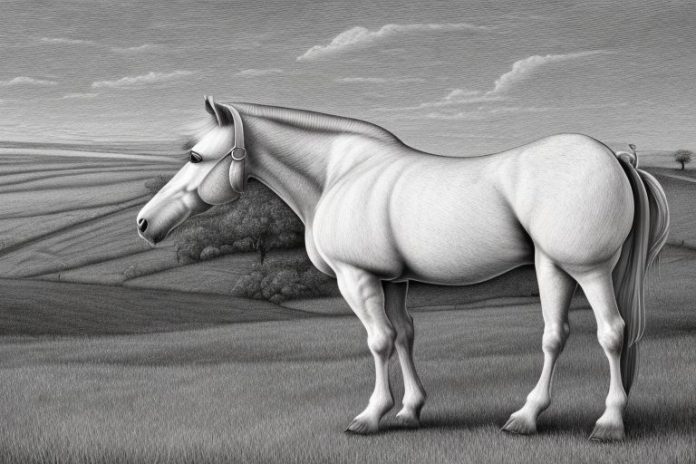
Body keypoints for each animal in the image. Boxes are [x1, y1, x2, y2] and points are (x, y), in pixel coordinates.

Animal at [136, 96, 669, 441]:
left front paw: (371, 416)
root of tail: (614, 157)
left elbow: (379, 340)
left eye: (195, 155)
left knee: (611, 332)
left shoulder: (356, 277)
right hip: (552, 265)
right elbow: (406, 336)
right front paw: (410, 411)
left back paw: (608, 423)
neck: (340, 174)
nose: (144, 223)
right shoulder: (392, 281)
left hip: (587, 268)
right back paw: (526, 417)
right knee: (556, 335)